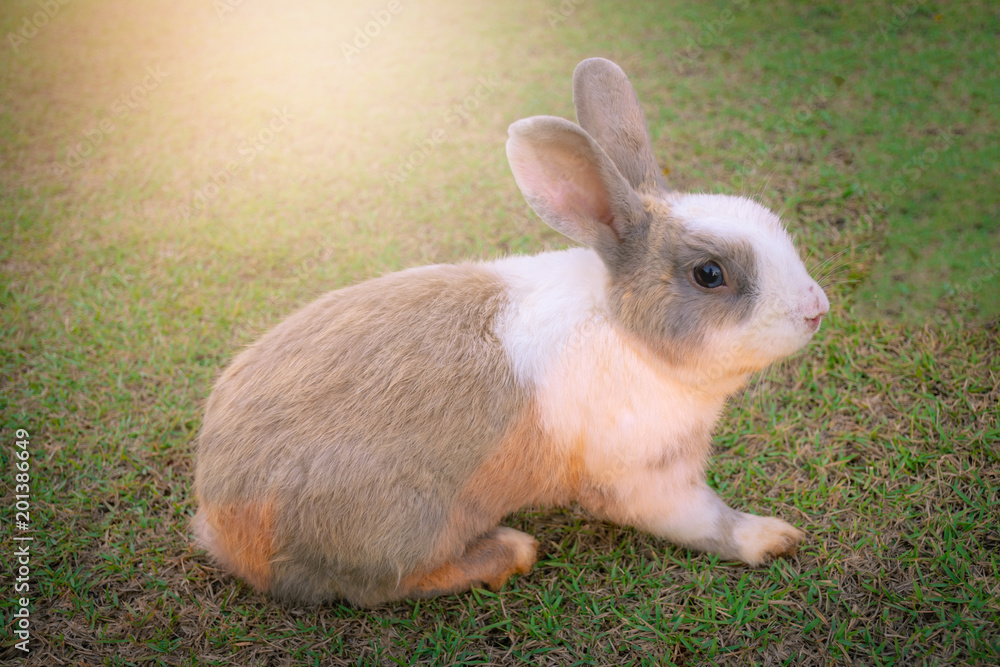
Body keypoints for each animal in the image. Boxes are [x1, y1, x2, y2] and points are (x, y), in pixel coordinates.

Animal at [192, 57, 830, 607]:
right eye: (710, 274)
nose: (816, 308)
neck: (625, 330)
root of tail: (220, 521)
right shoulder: (647, 478)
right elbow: (703, 520)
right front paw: (772, 537)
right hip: (407, 525)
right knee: (380, 584)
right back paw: (510, 551)